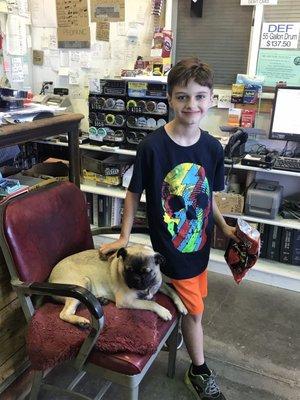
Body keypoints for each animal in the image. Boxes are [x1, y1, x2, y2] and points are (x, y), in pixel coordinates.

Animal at [48, 245, 188, 326]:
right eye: (128, 270)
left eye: (146, 272)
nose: (136, 279)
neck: (146, 288)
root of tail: (50, 279)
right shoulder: (127, 301)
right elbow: (151, 303)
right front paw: (163, 311)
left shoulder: (159, 284)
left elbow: (173, 292)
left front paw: (181, 305)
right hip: (83, 282)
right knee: (64, 314)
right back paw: (80, 321)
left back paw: (101, 300)